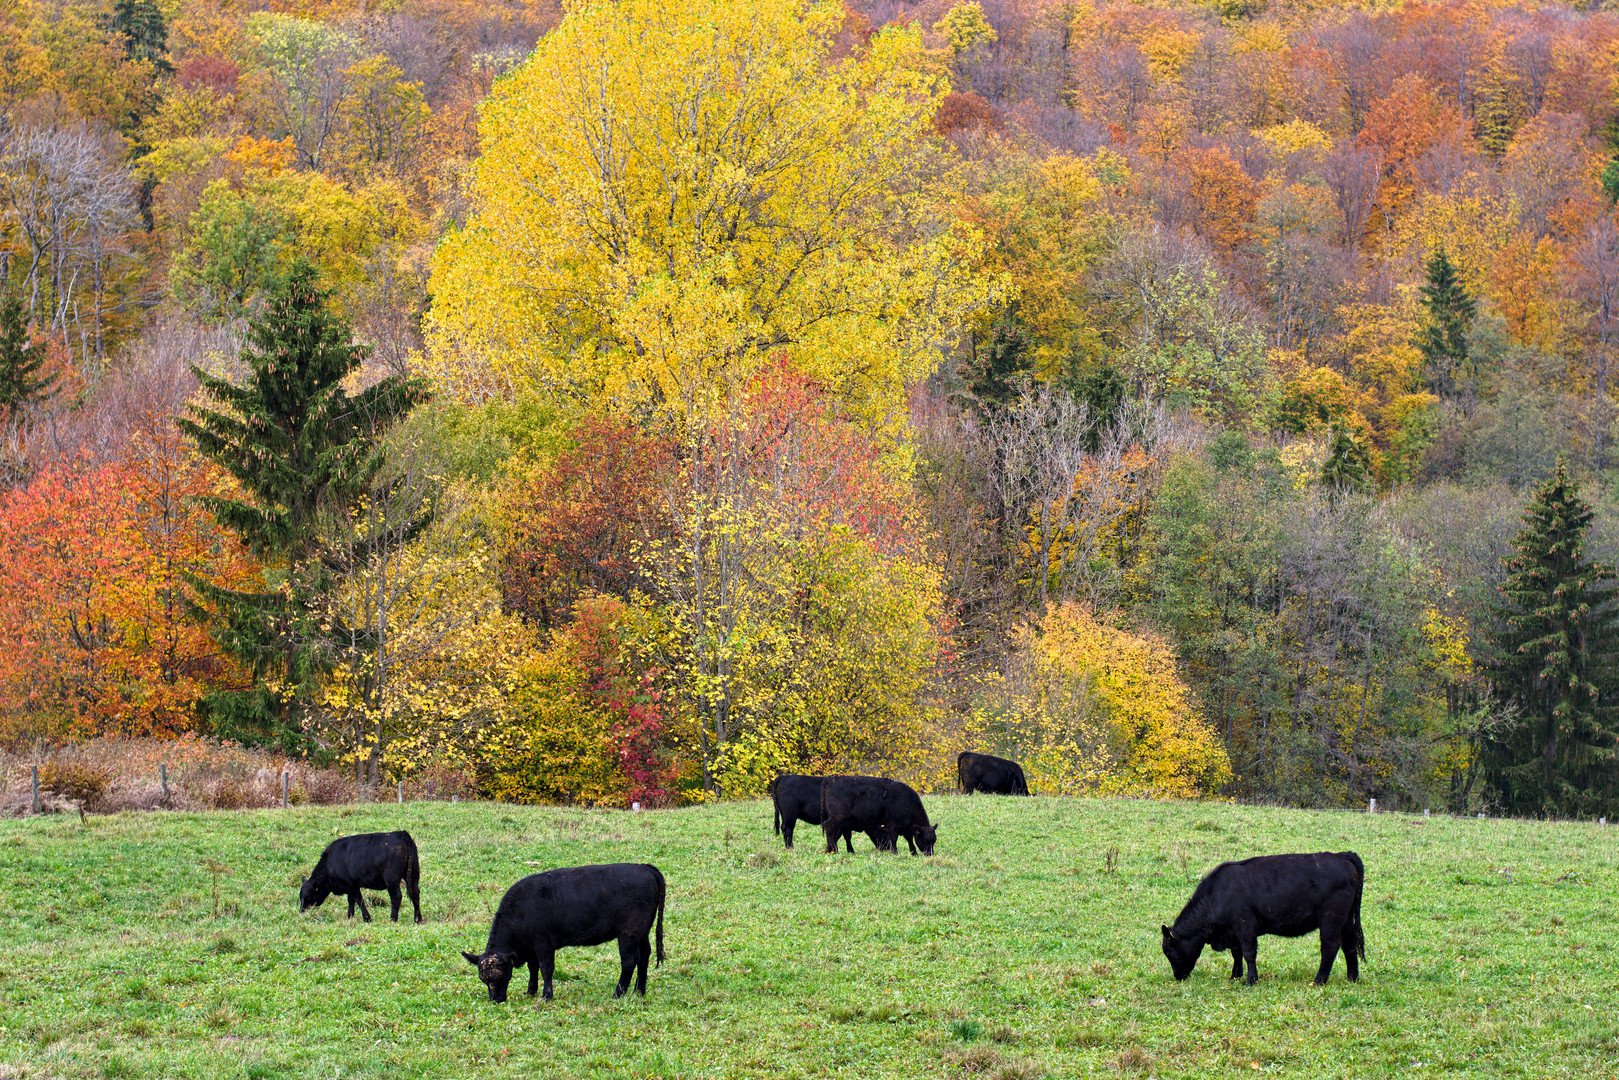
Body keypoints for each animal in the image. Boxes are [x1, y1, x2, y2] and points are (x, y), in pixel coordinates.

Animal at [466, 861, 667, 1003]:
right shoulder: (531, 947)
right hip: (642, 931)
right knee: (644, 955)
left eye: (500, 974)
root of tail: (643, 868)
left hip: (628, 933)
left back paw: (618, 994)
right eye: (483, 980)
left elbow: (546, 969)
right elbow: (533, 968)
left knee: (629, 960)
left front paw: (546, 996)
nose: (496, 1000)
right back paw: (639, 991)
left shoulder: (543, 943)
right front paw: (531, 992)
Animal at [1165, 854, 1366, 990]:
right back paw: (1352, 978)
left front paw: (1251, 980)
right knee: (1350, 945)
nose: (1177, 976)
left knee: (1330, 946)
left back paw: (1318, 981)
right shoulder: (1233, 932)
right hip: (1346, 920)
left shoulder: (1245, 926)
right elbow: (1236, 954)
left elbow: (1248, 953)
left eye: (1169, 951)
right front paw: (1234, 976)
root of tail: (1341, 856)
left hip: (1331, 919)